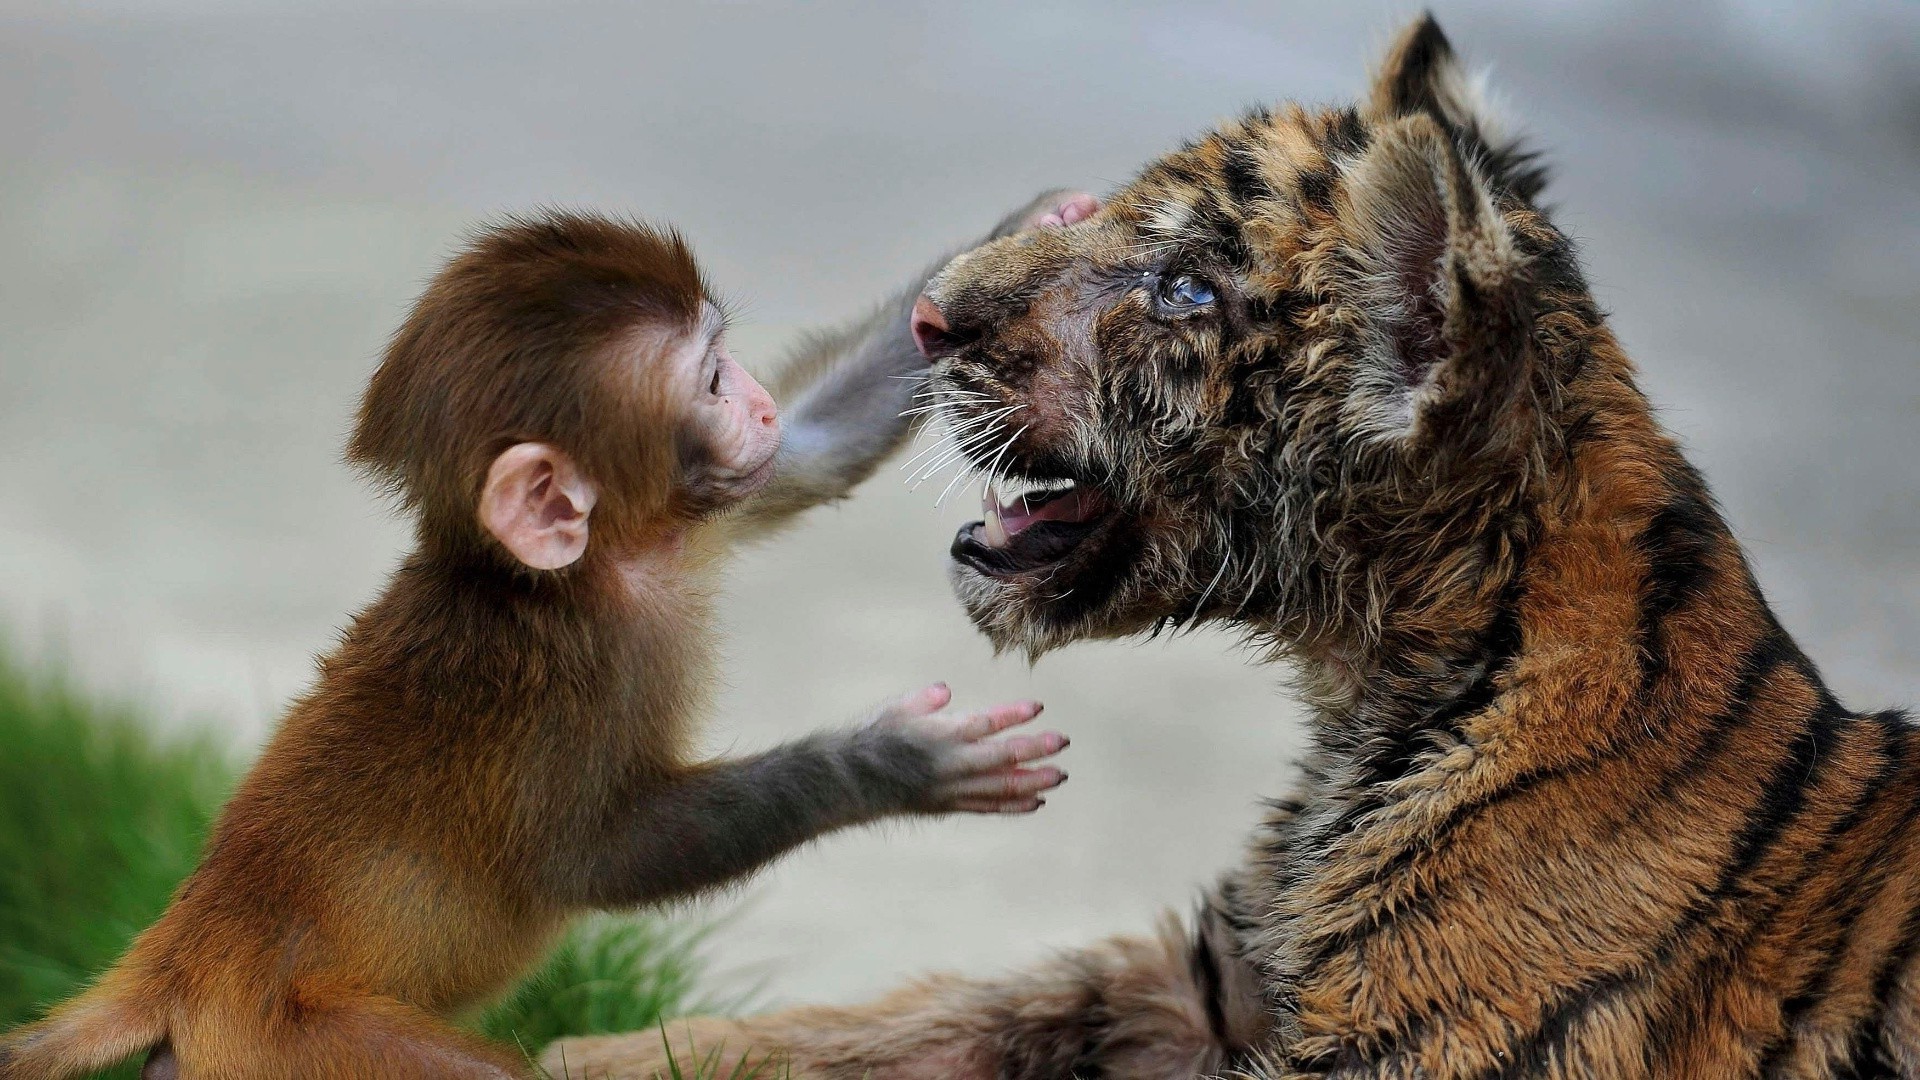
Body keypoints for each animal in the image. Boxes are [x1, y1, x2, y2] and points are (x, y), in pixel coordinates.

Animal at [0, 195, 1082, 1076]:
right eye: (711, 382)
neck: (578, 579)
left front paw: (1037, 221)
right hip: (298, 1039)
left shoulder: (695, 519)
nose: (755, 401)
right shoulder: (565, 684)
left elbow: (814, 453)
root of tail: (184, 953)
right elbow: (599, 859)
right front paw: (897, 761)